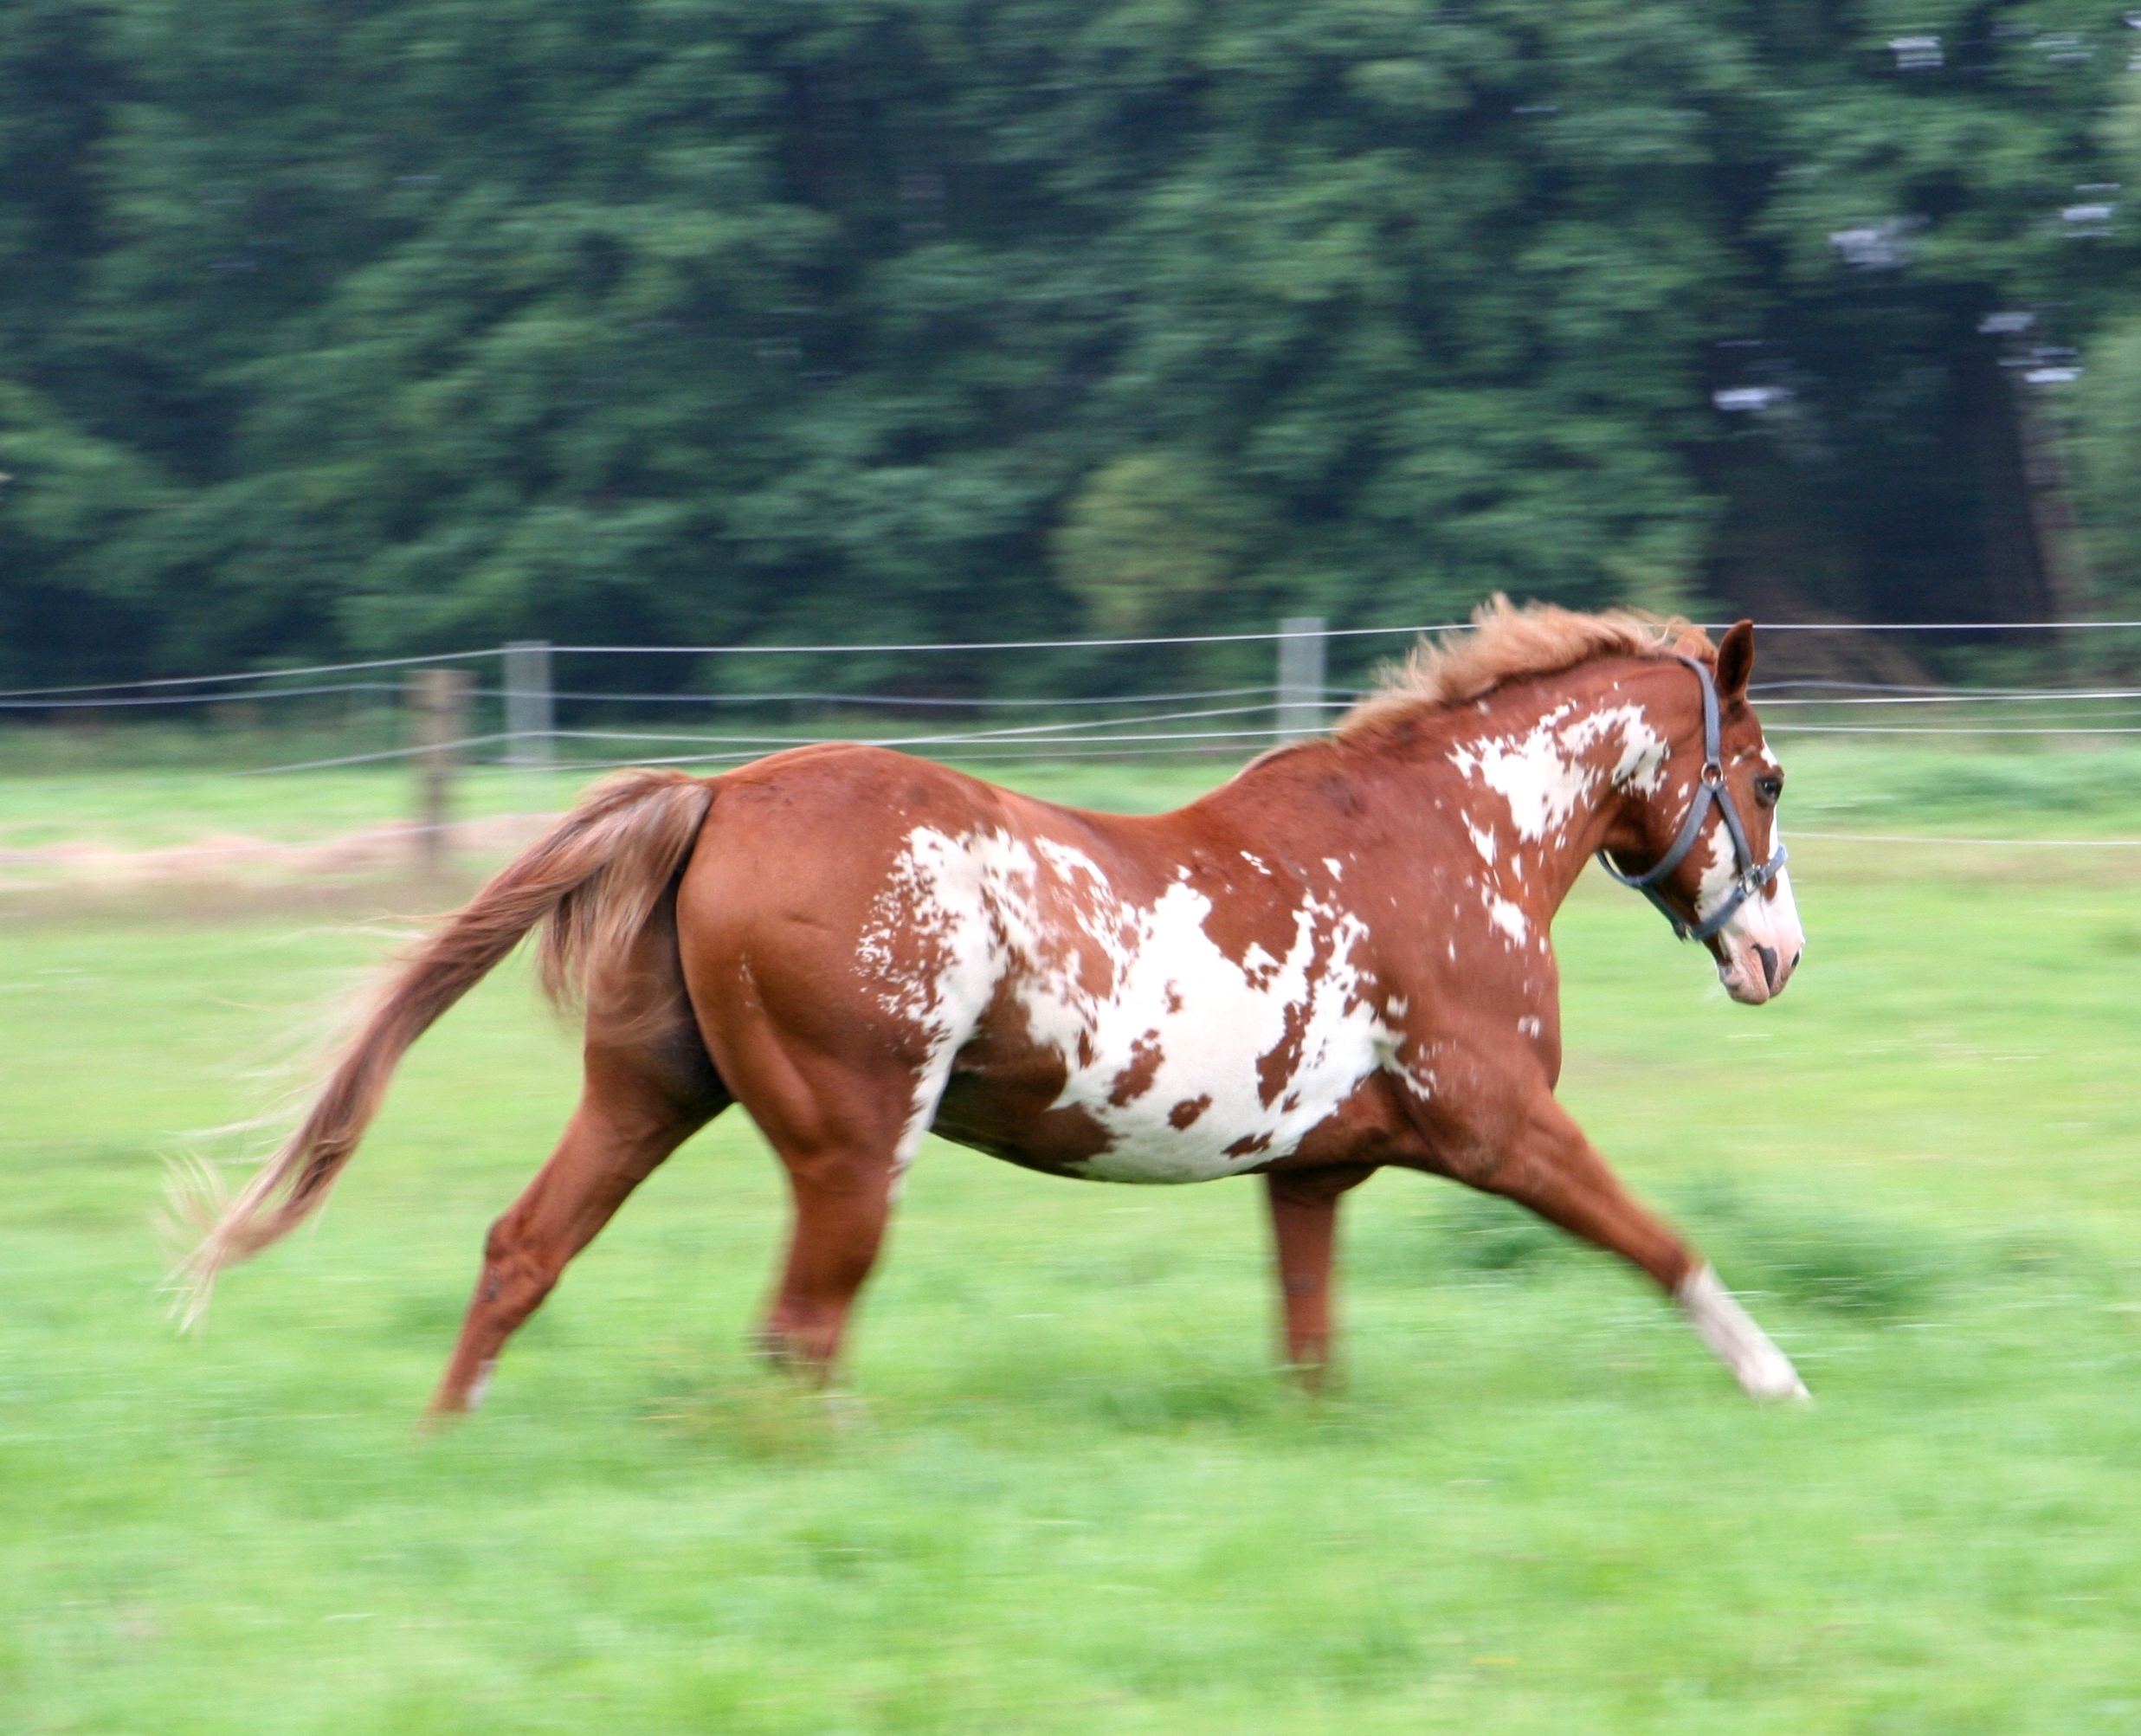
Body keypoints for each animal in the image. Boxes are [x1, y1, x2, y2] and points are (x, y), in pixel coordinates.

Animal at [182, 600, 1809, 1415]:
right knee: (799, 1328)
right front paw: (1777, 1380)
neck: (1447, 837)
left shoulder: (1309, 1176)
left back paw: (449, 1434)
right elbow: (1661, 1241)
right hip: (850, 1145)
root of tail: (719, 795)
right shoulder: (1498, 1124)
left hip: (650, 1095)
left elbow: (1308, 1353)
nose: (1778, 954)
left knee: (528, 1252)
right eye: (1769, 776)